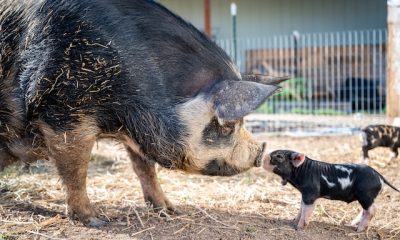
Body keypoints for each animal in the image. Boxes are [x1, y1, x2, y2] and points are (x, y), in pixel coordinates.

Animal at [1, 0, 286, 227]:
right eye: (227, 125)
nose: (261, 151)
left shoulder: (137, 129)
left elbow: (145, 168)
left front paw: (170, 210)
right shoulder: (63, 111)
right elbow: (76, 170)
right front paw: (97, 221)